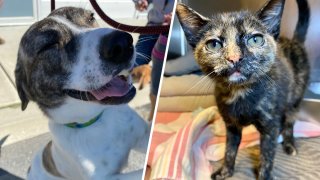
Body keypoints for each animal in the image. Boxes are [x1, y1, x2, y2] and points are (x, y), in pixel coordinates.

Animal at [15, 7, 150, 180]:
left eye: (91, 17)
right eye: (48, 45)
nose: (122, 43)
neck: (95, 120)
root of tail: (30, 168)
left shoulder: (144, 135)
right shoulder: (106, 177)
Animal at [176, 0, 308, 179]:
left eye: (255, 40)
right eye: (214, 44)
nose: (234, 58)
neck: (240, 93)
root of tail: (294, 41)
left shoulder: (269, 125)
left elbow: (267, 156)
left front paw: (264, 175)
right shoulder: (231, 126)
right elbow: (230, 150)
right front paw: (225, 171)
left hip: (294, 100)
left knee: (288, 122)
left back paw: (289, 144)